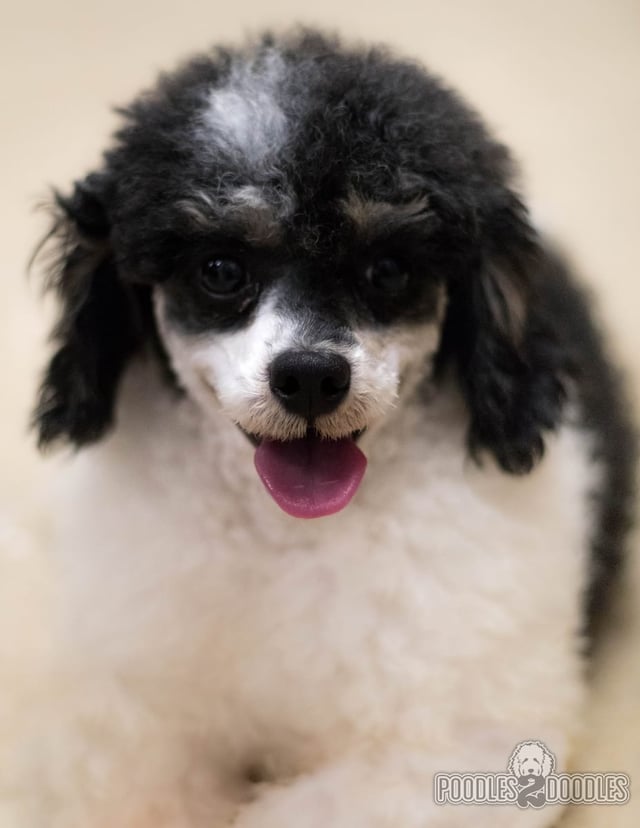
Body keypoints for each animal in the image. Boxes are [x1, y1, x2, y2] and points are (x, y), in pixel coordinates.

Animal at [12, 27, 636, 828]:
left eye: (388, 271)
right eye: (220, 269)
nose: (310, 376)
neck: (290, 537)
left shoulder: (450, 749)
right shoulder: (123, 719)